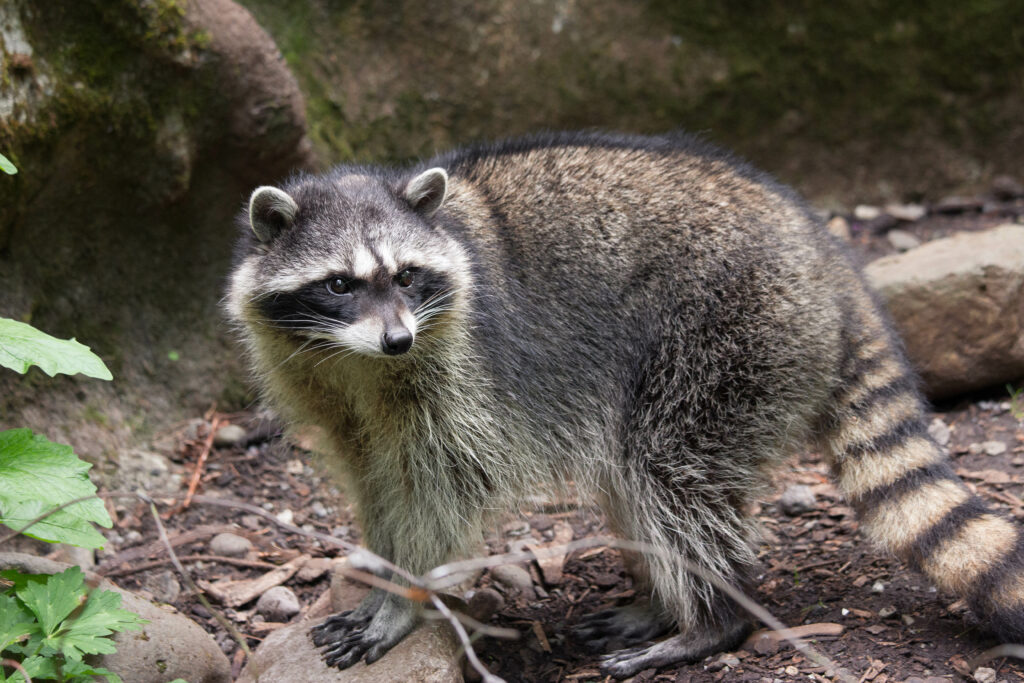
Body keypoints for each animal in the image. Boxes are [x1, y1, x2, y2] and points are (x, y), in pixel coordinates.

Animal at [226, 131, 1024, 677]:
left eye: (405, 275)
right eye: (339, 284)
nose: (396, 339)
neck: (356, 360)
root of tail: (822, 251)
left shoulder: (460, 375)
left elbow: (440, 494)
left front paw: (404, 596)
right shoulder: (328, 385)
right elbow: (377, 485)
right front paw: (379, 574)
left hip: (729, 335)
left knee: (672, 475)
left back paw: (711, 617)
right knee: (634, 481)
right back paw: (662, 601)